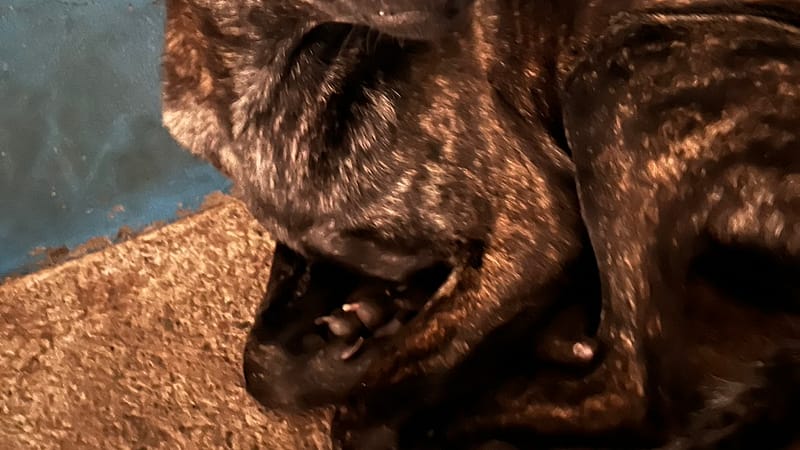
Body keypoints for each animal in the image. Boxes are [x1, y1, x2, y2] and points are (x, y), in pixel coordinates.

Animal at [161, 0, 800, 448]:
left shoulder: (537, 228)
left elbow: (364, 407)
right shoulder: (304, 244)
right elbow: (263, 361)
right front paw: (369, 321)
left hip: (617, 72)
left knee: (633, 388)